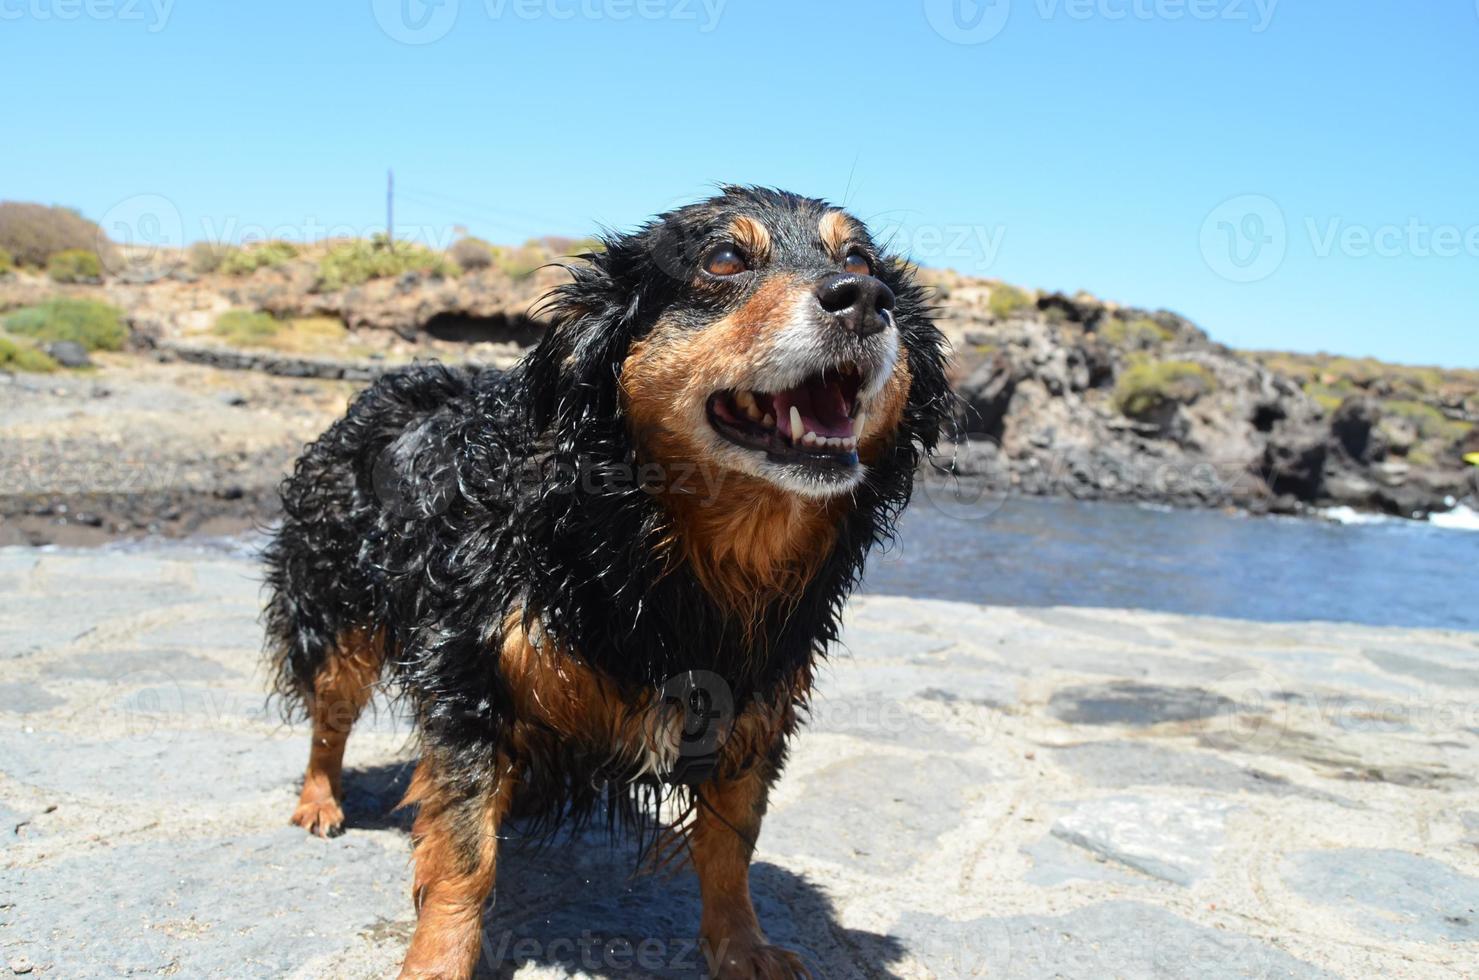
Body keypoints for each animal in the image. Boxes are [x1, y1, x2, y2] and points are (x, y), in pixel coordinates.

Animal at [261, 187, 952, 975]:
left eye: (860, 260)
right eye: (723, 258)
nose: (864, 299)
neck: (656, 550)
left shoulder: (754, 702)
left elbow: (729, 850)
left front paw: (741, 946)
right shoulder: (469, 672)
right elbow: (464, 854)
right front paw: (438, 958)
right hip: (339, 607)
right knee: (330, 712)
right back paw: (320, 800)